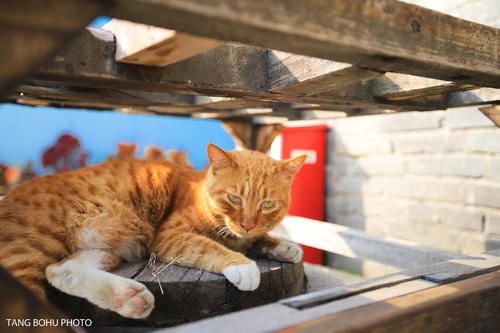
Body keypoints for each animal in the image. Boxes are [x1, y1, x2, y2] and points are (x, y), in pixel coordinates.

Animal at [0, 143, 304, 316]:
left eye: (266, 204)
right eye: (235, 199)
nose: (247, 223)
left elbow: (256, 239)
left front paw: (283, 246)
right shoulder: (170, 237)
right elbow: (208, 246)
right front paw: (241, 264)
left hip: (105, 247)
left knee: (61, 271)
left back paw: (127, 298)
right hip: (33, 247)